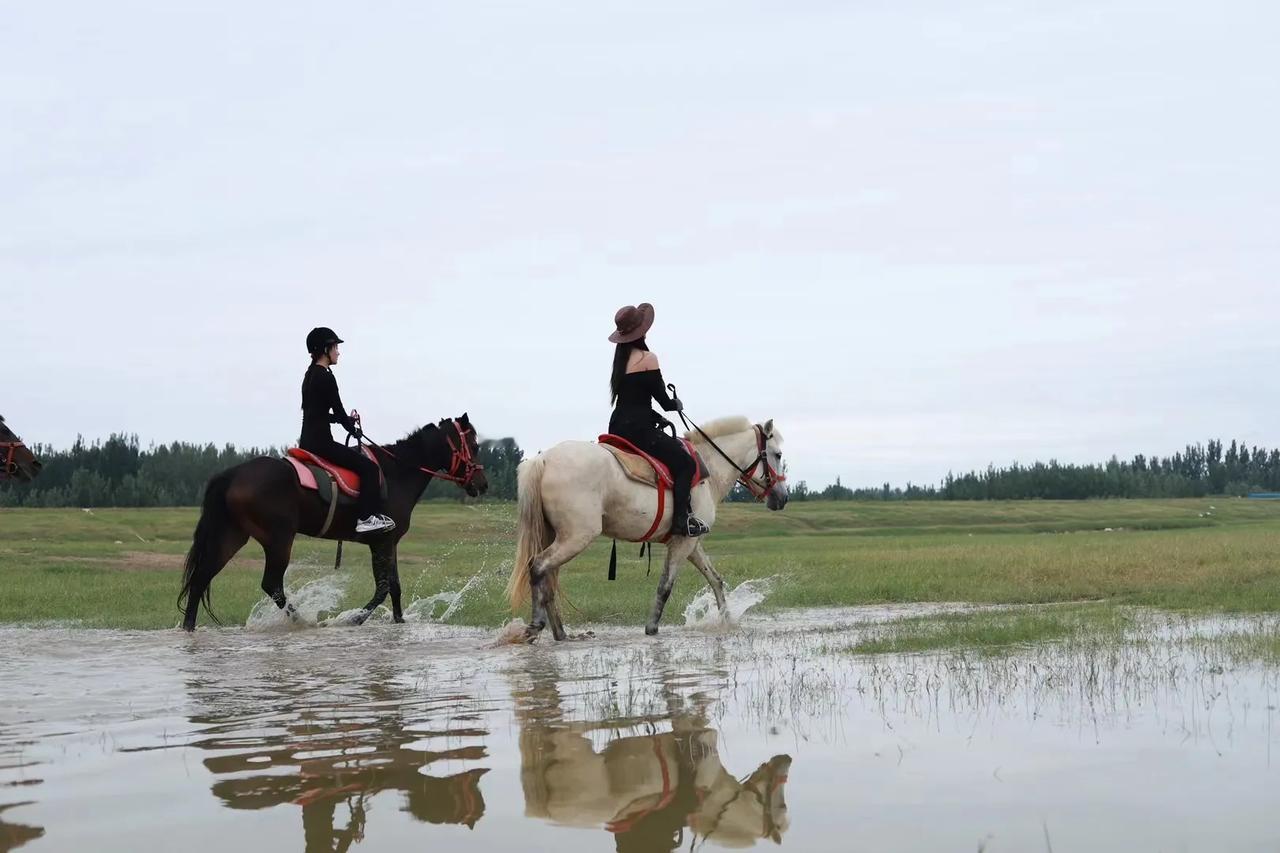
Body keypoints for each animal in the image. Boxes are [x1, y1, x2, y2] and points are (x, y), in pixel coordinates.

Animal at [183, 414, 491, 627]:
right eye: (474, 445)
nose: (482, 483)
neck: (397, 472)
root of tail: (234, 473)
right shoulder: (382, 541)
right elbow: (383, 588)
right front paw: (354, 619)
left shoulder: (387, 543)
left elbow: (394, 587)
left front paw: (399, 622)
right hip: (278, 539)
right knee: (272, 585)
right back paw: (302, 622)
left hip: (233, 535)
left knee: (201, 578)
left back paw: (189, 627)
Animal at [501, 412, 783, 637]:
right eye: (778, 455)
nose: (781, 498)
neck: (708, 472)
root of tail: (544, 459)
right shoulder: (683, 543)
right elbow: (665, 586)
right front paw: (652, 629)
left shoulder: (691, 543)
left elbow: (715, 580)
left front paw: (726, 621)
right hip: (575, 537)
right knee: (538, 566)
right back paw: (537, 624)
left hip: (555, 536)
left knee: (547, 577)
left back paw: (560, 633)